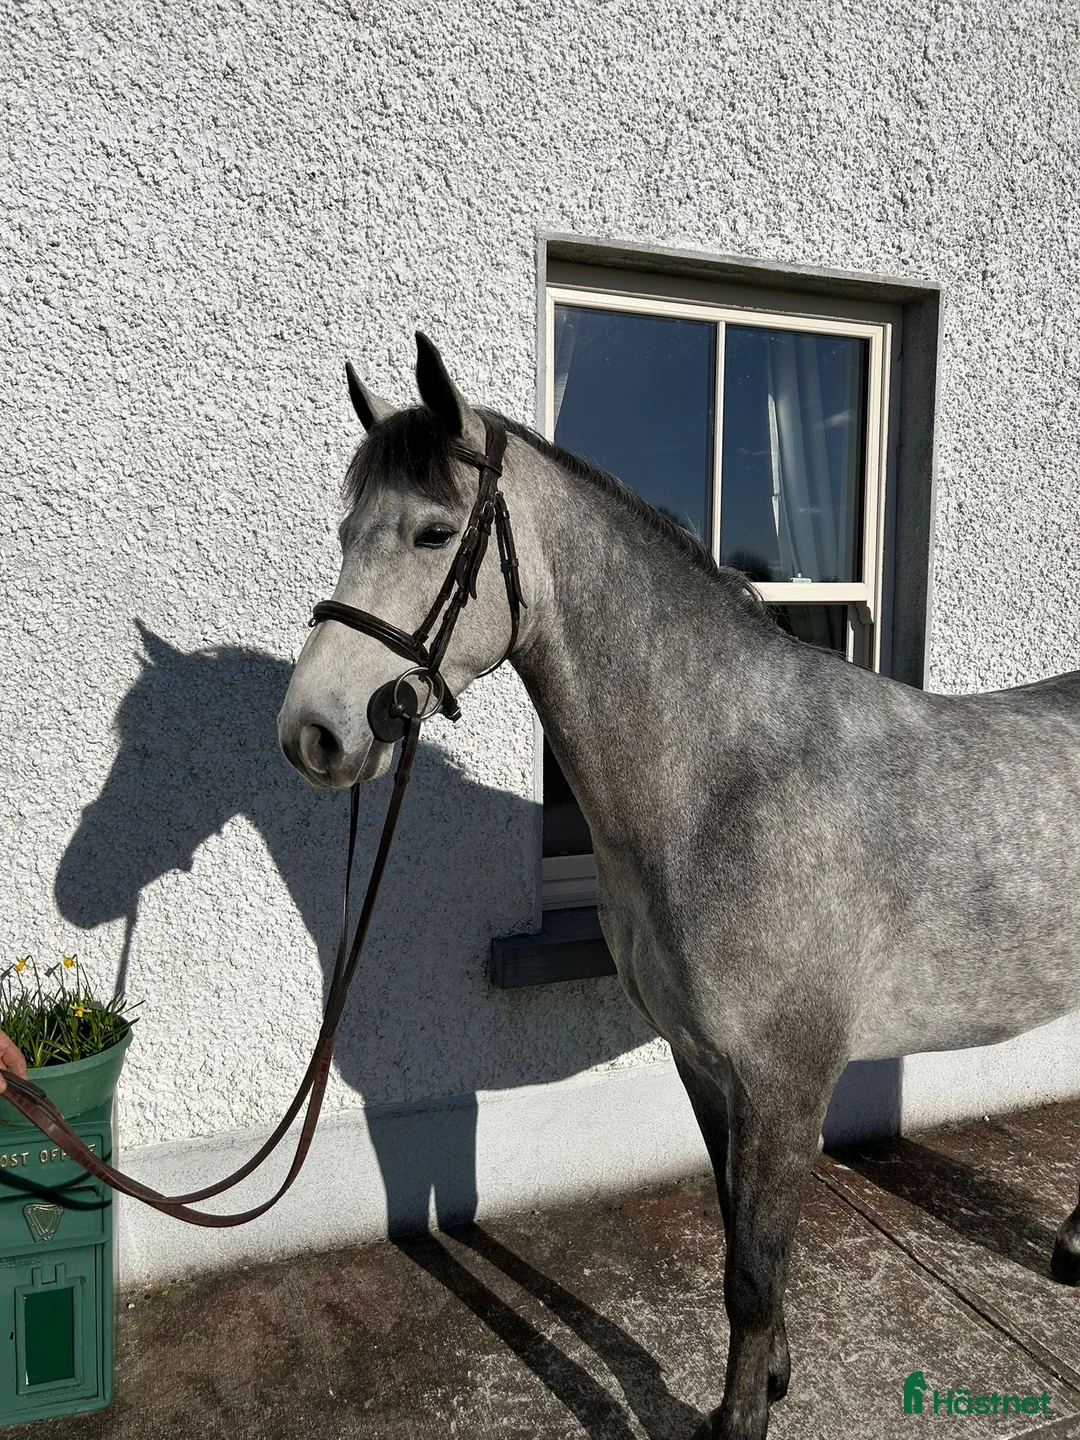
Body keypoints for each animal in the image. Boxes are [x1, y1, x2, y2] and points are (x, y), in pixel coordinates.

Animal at [277, 332, 1080, 1440]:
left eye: (435, 533)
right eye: (347, 530)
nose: (312, 732)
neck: (719, 782)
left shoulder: (785, 1084)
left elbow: (755, 1266)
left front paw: (738, 1419)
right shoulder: (706, 1067)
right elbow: (737, 1238)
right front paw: (769, 1377)